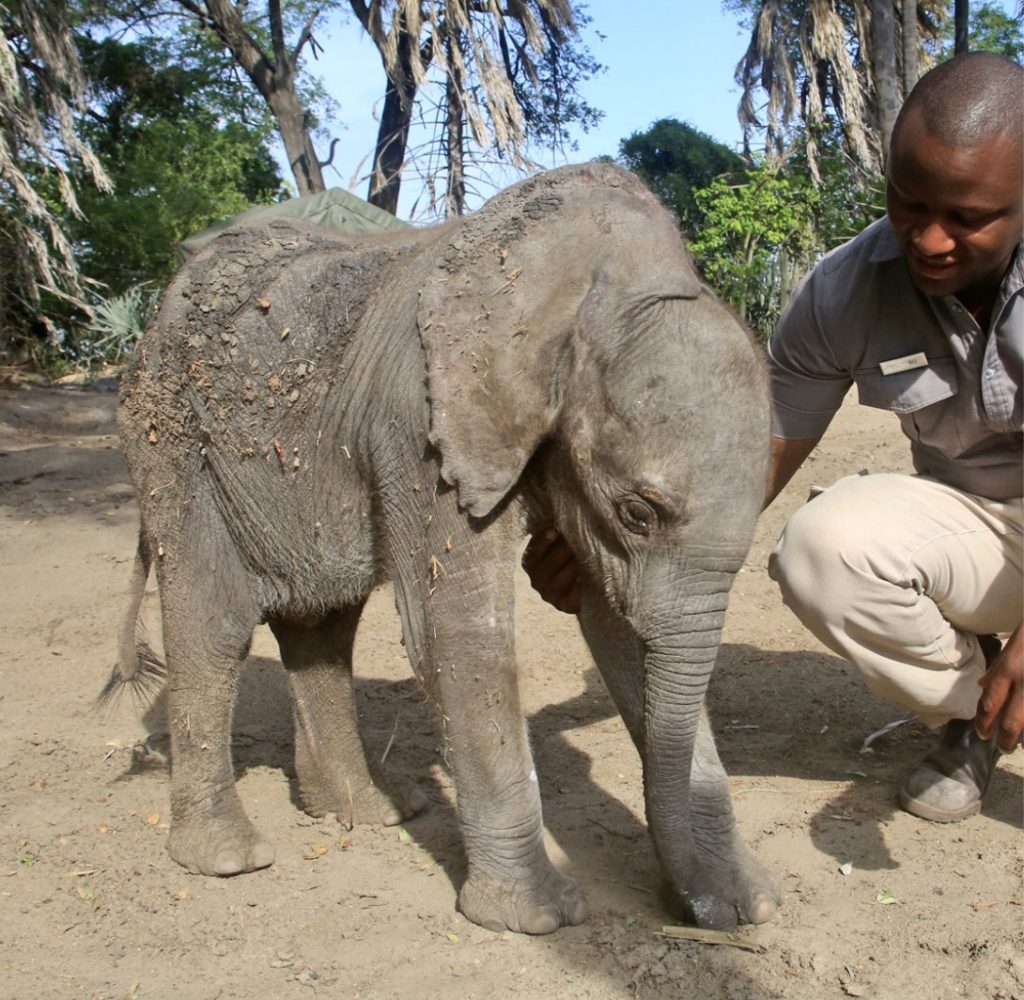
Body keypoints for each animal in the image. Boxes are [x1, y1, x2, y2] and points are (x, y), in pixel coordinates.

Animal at [109, 161, 779, 934]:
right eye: (637, 512)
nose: (692, 910)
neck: (595, 284)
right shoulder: (420, 423)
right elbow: (457, 634)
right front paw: (539, 919)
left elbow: (618, 626)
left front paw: (747, 901)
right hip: (173, 448)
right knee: (214, 625)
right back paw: (228, 858)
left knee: (323, 622)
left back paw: (369, 811)